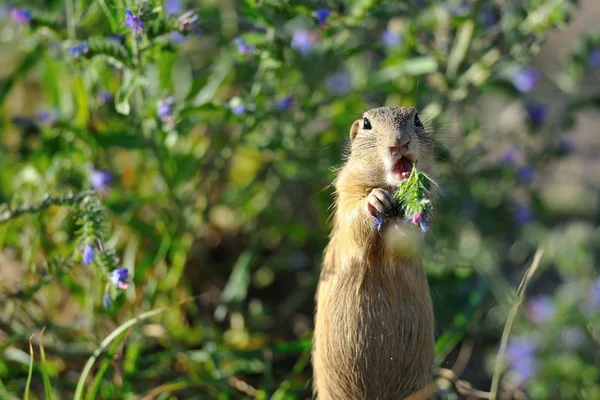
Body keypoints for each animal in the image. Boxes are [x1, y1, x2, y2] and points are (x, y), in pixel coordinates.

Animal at [314, 106, 436, 400]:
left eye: (417, 119)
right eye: (367, 124)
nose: (399, 142)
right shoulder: (346, 194)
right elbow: (354, 219)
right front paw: (376, 200)